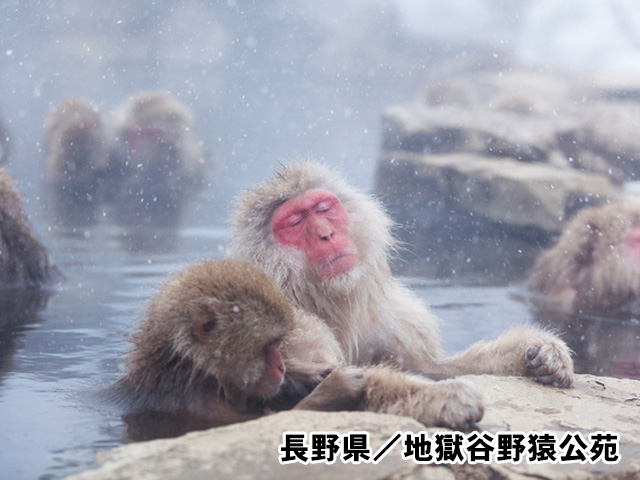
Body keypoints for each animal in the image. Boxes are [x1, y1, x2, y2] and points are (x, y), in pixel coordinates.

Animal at [229, 161, 574, 420]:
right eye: (295, 222)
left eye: (324, 209)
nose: (326, 234)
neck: (329, 302)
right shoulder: (293, 327)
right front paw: (441, 397)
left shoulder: (393, 319)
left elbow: (430, 367)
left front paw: (542, 352)